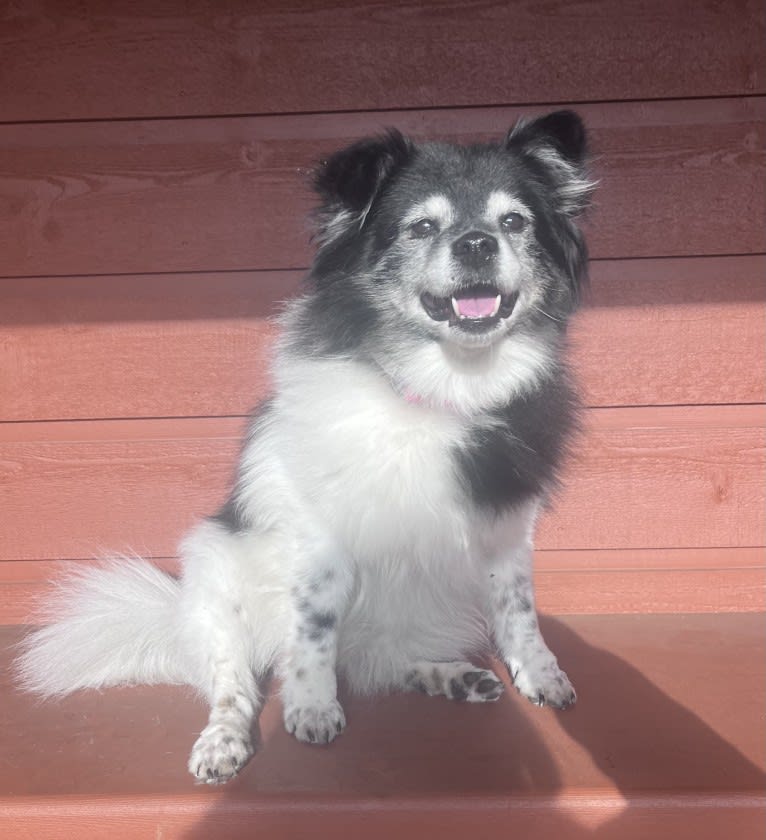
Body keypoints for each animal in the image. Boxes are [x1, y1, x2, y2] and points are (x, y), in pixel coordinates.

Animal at [16, 108, 592, 784]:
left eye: (513, 222)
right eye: (422, 226)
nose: (476, 243)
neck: (439, 390)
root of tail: (173, 617)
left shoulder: (507, 533)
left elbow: (519, 611)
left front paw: (542, 675)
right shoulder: (321, 542)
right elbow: (314, 631)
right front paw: (312, 708)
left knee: (377, 662)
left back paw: (450, 677)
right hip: (214, 577)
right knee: (233, 682)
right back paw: (223, 742)